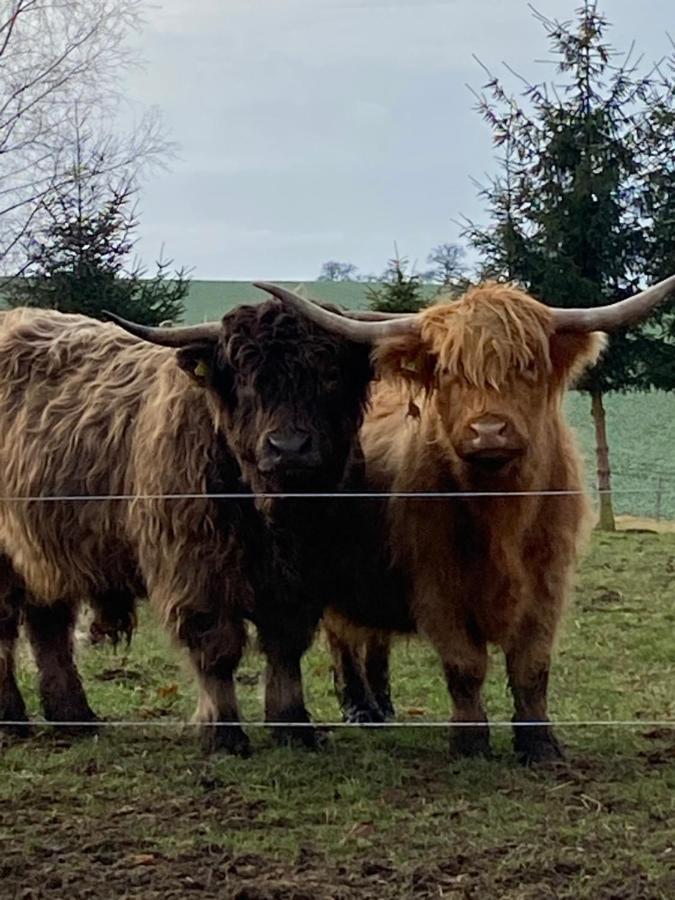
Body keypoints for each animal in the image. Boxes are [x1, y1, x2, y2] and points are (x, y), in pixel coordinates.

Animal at [0, 294, 370, 752]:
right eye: (246, 380)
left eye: (330, 374)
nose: (289, 448)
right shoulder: (195, 569)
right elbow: (217, 647)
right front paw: (223, 732)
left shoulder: (304, 575)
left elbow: (285, 646)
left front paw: (292, 726)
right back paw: (13, 719)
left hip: (43, 550)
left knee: (48, 625)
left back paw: (74, 717)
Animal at [274, 272, 675, 760]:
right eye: (448, 371)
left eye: (527, 366)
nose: (488, 431)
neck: (500, 512)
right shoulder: (437, 586)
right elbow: (464, 665)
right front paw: (469, 742)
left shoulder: (548, 584)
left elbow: (531, 666)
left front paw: (539, 744)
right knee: (342, 633)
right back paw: (360, 707)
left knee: (374, 636)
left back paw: (384, 706)